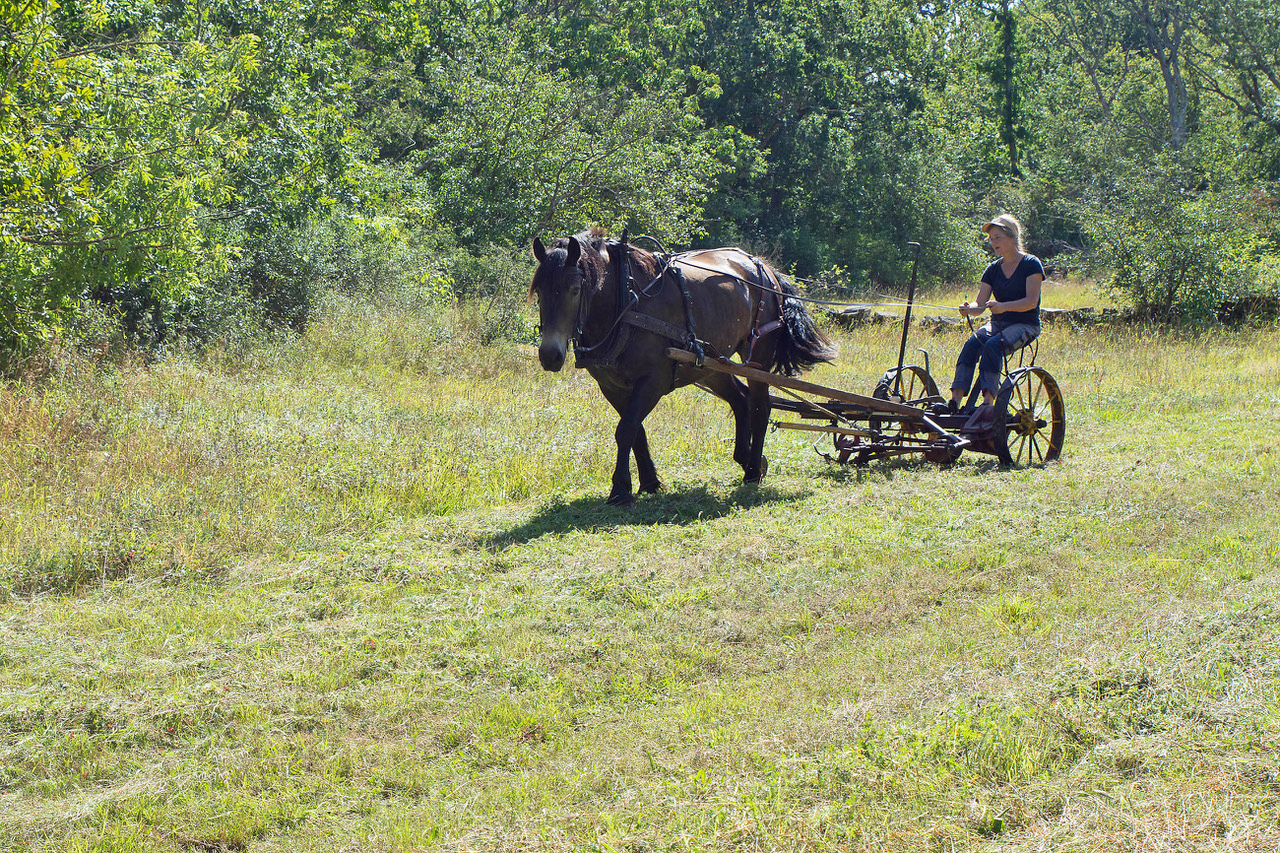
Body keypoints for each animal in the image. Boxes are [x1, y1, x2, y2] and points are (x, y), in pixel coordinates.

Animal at [527, 227, 834, 504]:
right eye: (539, 292)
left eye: (575, 289)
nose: (550, 355)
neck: (626, 303)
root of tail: (764, 268)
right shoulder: (611, 386)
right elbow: (636, 431)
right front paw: (649, 482)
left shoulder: (654, 380)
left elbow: (626, 429)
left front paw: (620, 489)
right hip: (710, 365)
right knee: (740, 400)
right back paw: (746, 458)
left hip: (757, 356)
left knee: (760, 406)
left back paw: (752, 470)